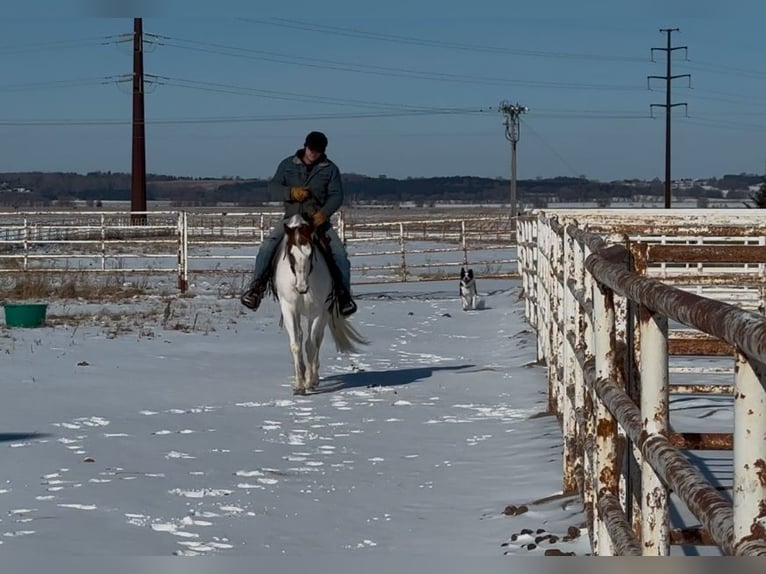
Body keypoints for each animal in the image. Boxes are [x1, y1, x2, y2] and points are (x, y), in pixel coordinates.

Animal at [272, 215, 368, 396]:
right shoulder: (289, 309)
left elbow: (311, 345)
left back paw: (314, 378)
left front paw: (309, 383)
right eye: (291, 254)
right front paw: (299, 385)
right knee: (303, 336)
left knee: (317, 340)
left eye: (311, 254)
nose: (302, 288)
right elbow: (296, 344)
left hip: (324, 313)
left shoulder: (317, 312)